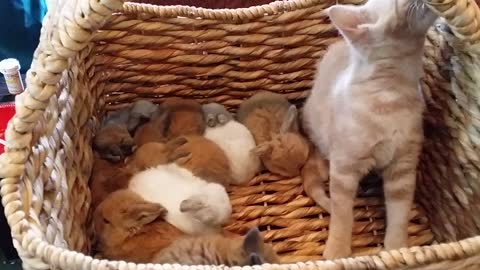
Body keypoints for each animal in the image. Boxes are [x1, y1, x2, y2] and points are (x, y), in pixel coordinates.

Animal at [304, 0, 438, 260]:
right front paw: (337, 250)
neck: (393, 95)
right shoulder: (344, 169)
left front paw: (397, 249)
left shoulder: (403, 168)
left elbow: (400, 213)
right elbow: (342, 213)